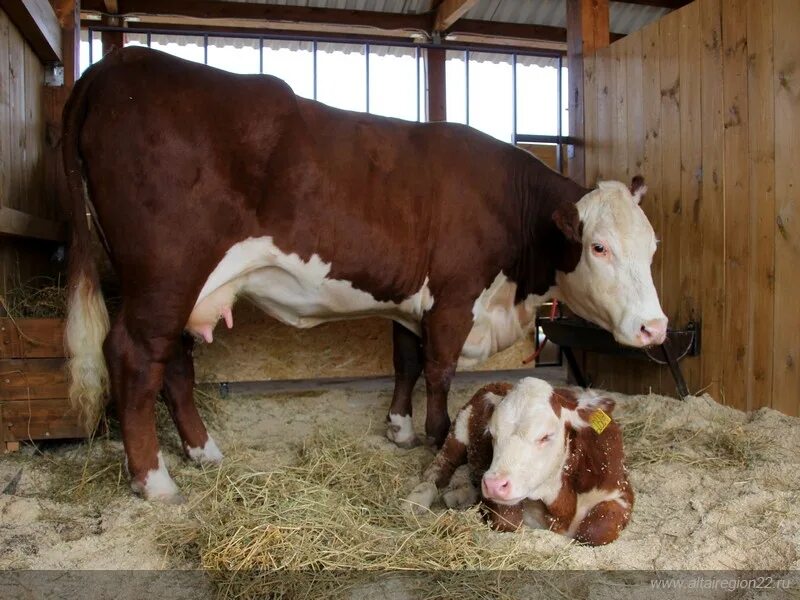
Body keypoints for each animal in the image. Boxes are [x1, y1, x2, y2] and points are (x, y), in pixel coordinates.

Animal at [61, 49, 664, 504]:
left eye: (653, 246)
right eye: (599, 247)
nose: (655, 328)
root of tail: (117, 62)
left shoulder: (412, 299)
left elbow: (404, 359)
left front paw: (398, 427)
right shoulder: (454, 297)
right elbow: (438, 370)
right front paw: (436, 433)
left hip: (186, 288)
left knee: (175, 366)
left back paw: (202, 451)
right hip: (165, 275)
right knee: (135, 358)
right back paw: (154, 481)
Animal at [404, 378, 636, 548]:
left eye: (545, 436)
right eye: (492, 434)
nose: (494, 485)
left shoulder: (621, 491)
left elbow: (595, 530)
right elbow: (507, 521)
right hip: (457, 432)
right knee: (435, 472)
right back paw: (416, 502)